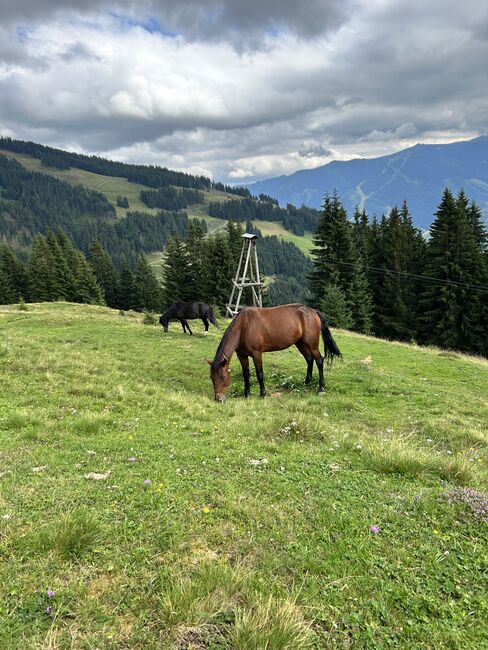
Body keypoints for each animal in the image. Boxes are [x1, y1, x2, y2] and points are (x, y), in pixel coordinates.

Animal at [208, 304, 342, 400]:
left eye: (223, 376)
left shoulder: (257, 354)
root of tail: (313, 311)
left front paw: (262, 394)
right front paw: (246, 394)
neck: (244, 326)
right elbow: (246, 374)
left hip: (312, 344)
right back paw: (307, 382)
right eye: (211, 377)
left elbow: (260, 374)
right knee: (309, 359)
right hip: (300, 343)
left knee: (319, 360)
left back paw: (321, 388)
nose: (218, 398)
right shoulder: (241, 355)